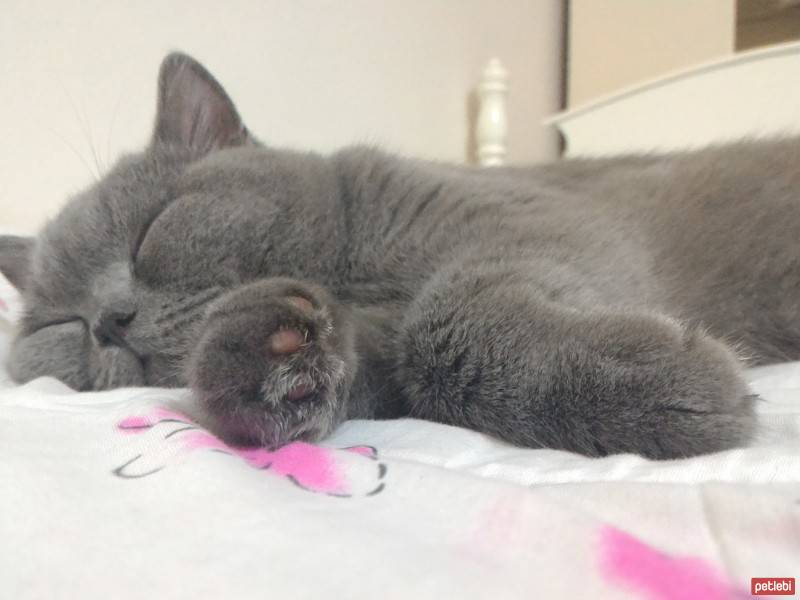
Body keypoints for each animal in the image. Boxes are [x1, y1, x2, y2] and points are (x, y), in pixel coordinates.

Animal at [3, 54, 796, 458]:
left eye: (151, 228)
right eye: (57, 325)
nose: (109, 318)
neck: (355, 273)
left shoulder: (542, 220)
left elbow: (443, 325)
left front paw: (673, 386)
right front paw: (264, 353)